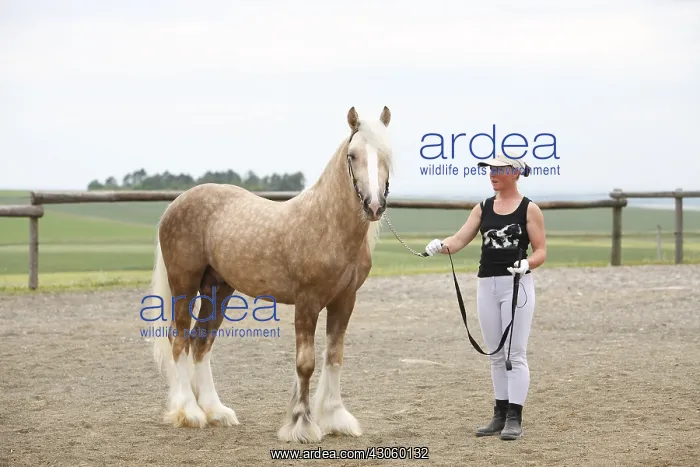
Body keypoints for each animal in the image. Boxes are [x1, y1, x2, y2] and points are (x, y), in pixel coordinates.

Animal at [147, 106, 394, 444]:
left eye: (386, 153)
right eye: (352, 155)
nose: (374, 205)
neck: (327, 224)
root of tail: (176, 204)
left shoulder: (344, 301)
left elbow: (334, 356)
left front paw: (335, 418)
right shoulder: (307, 301)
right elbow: (306, 363)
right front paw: (301, 425)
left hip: (218, 289)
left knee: (201, 342)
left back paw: (216, 412)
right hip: (184, 283)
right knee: (180, 338)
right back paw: (190, 412)